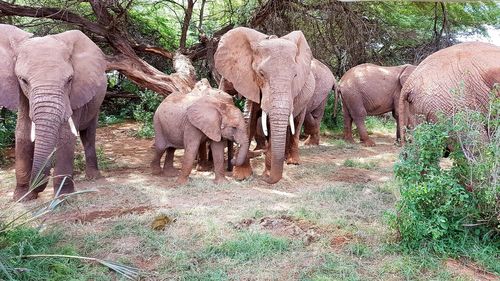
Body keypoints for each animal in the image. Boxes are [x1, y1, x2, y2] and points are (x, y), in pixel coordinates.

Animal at [0, 24, 106, 199]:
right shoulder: (21, 93)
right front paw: (23, 197)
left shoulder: (75, 93)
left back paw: (93, 177)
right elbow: (23, 133)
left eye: (69, 80)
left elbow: (66, 136)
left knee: (88, 135)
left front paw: (63, 197)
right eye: (23, 80)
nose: (36, 186)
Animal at [215, 27, 316, 183]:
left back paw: (292, 162)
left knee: (297, 123)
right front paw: (242, 176)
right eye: (261, 74)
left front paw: (266, 175)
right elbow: (249, 123)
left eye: (295, 76)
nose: (266, 179)